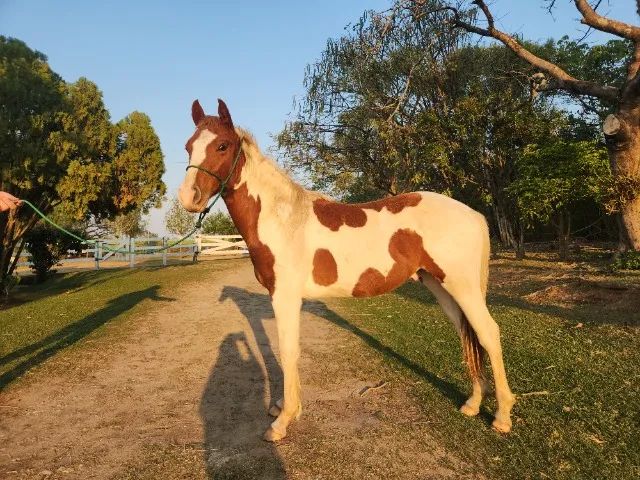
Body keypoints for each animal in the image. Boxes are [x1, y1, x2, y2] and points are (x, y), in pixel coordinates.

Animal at [179, 99, 516, 441]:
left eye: (222, 145)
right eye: (189, 146)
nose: (189, 198)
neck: (284, 220)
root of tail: (473, 214)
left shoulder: (285, 297)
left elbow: (287, 351)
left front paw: (282, 421)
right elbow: (290, 351)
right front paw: (286, 408)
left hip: (462, 286)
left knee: (488, 333)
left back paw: (502, 417)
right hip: (441, 286)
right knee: (467, 332)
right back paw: (472, 404)